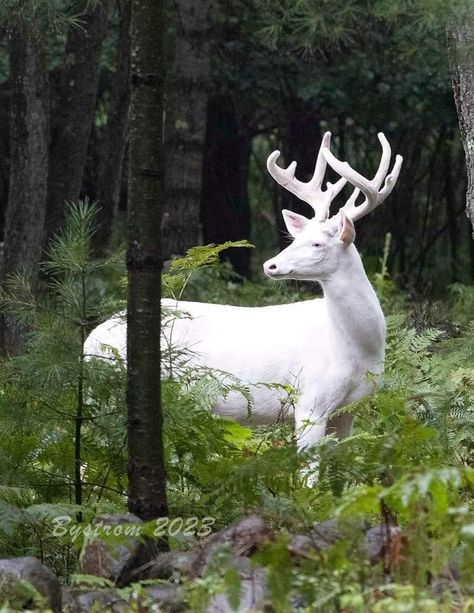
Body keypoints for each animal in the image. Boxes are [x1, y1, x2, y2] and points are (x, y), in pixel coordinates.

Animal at [83, 130, 402, 454]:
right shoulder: (310, 401)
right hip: (103, 393)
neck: (353, 348)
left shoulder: (350, 409)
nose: (270, 265)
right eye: (295, 239)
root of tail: (90, 340)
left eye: (316, 244)